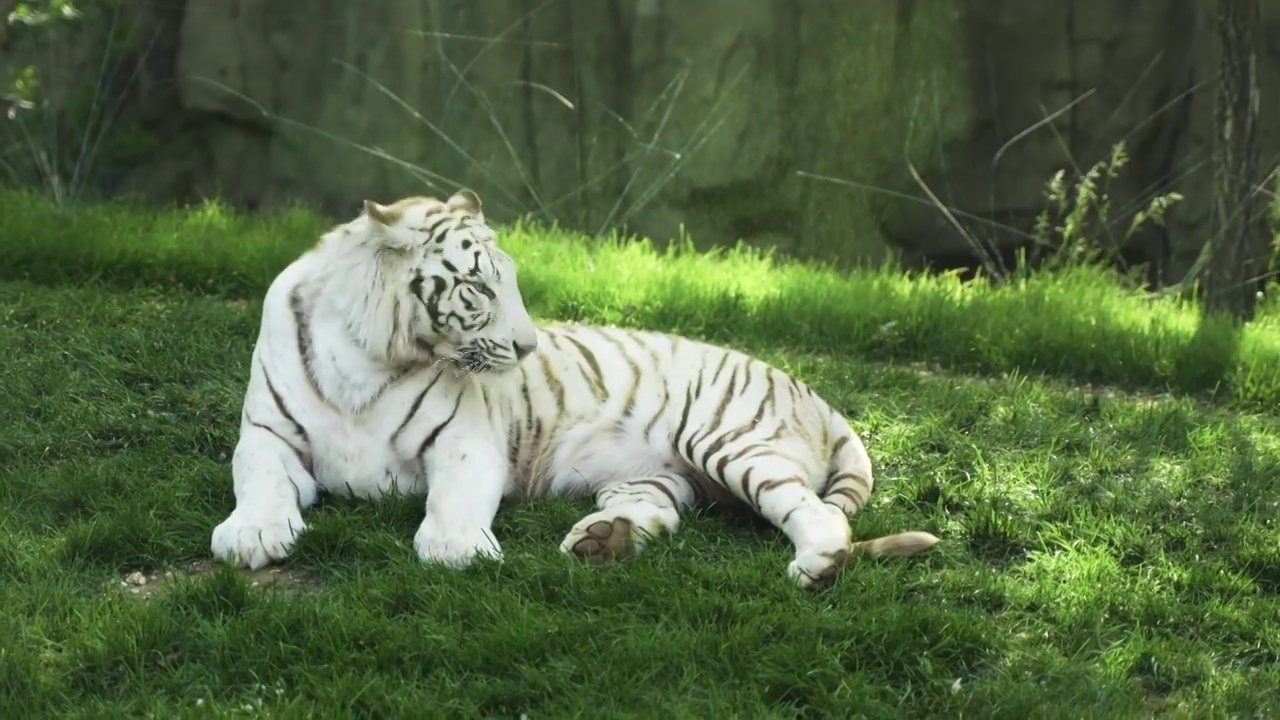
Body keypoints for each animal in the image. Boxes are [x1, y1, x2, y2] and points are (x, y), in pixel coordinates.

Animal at [204, 188, 936, 586]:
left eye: (510, 281)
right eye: (478, 287)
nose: (528, 346)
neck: (369, 356)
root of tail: (821, 398)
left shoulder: (466, 440)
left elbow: (454, 499)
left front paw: (455, 548)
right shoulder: (266, 435)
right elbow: (259, 481)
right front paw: (252, 535)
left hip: (729, 440)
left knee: (822, 515)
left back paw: (816, 567)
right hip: (659, 475)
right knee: (659, 510)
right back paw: (600, 542)